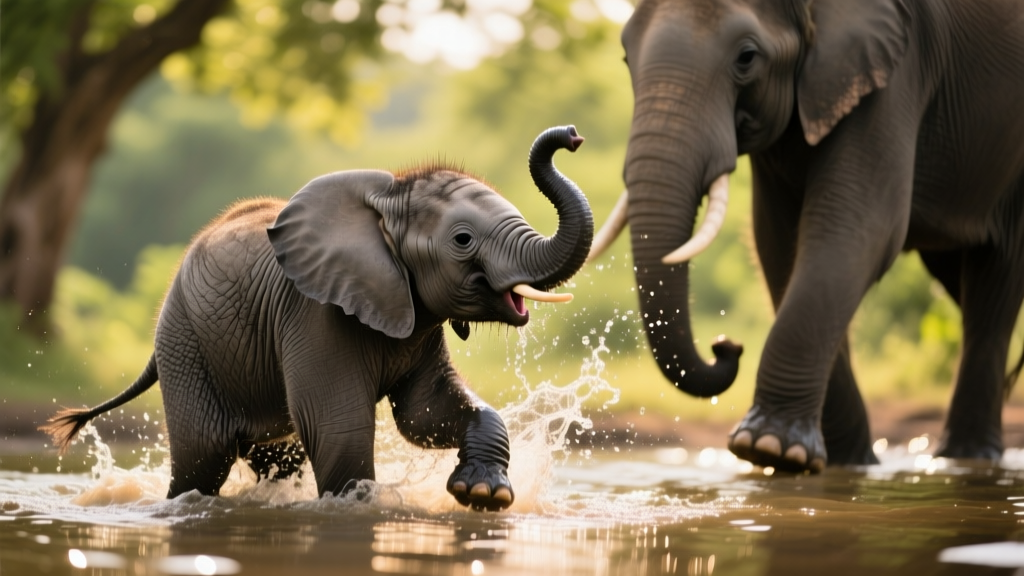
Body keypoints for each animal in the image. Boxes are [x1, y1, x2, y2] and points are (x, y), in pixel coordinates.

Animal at [41, 126, 593, 510]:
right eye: (462, 240)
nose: (571, 137)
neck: (389, 199)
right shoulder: (316, 316)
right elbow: (340, 428)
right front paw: (359, 508)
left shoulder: (414, 316)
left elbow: (425, 413)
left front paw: (482, 496)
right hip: (185, 342)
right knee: (204, 454)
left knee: (275, 456)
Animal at [588, 0, 1024, 472]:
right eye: (626, 57)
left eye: (746, 58)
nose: (726, 345)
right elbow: (778, 242)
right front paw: (836, 463)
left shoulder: (898, 69)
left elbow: (855, 229)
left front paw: (767, 448)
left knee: (994, 283)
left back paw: (967, 458)